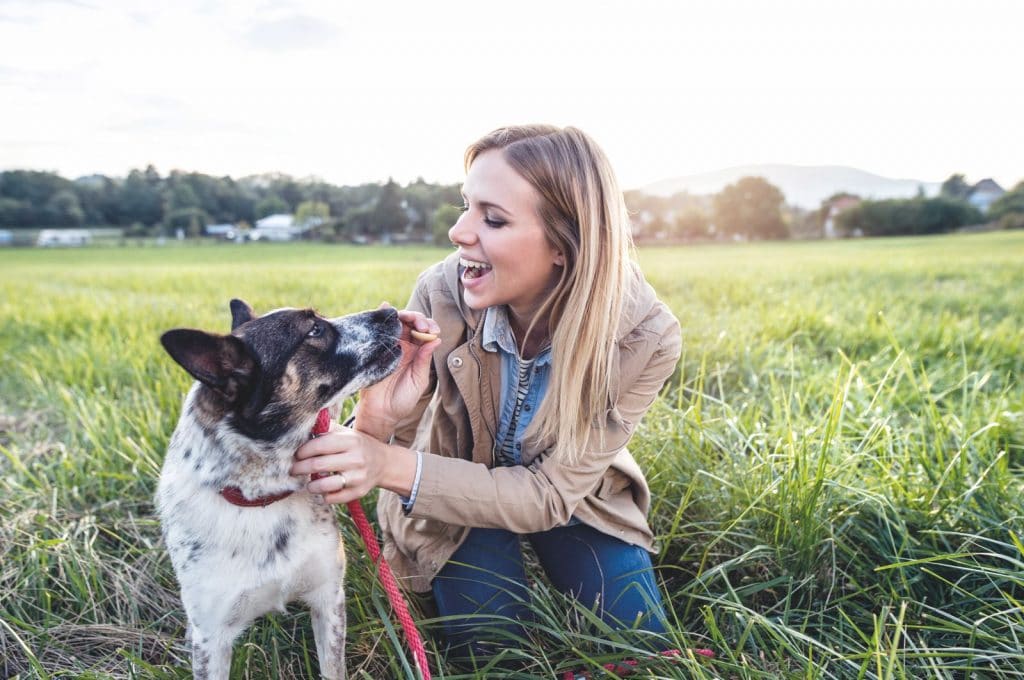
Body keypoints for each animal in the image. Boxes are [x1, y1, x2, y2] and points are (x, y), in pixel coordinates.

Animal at [157, 301, 401, 680]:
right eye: (314, 330)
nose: (391, 312)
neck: (262, 498)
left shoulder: (328, 598)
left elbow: (332, 668)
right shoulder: (212, 639)